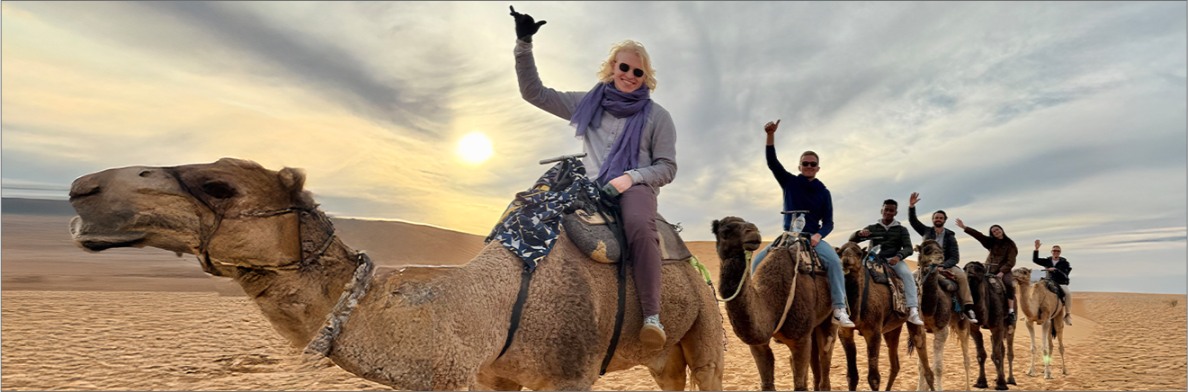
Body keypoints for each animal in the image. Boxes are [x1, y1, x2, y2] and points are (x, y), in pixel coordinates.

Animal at [69, 157, 727, 389]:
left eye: (219, 185)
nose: (83, 188)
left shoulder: (568, 376)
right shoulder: (491, 377)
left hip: (705, 322)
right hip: (663, 353)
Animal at [708, 216, 841, 389]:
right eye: (725, 231)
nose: (753, 231)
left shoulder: (800, 339)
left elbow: (799, 385)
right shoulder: (758, 345)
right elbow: (767, 384)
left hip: (828, 317)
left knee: (825, 352)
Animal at [836, 242, 936, 389]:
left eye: (859, 253)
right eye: (840, 252)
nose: (847, 259)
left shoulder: (873, 332)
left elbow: (874, 378)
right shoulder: (844, 332)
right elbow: (851, 376)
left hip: (916, 320)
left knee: (924, 361)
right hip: (892, 329)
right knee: (895, 365)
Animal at [912, 238, 969, 389]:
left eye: (941, 249)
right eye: (926, 250)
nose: (940, 258)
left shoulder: (942, 330)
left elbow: (938, 367)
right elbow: (921, 366)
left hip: (962, 323)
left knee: (966, 358)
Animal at [959, 261, 1007, 389]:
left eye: (979, 270)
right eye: (965, 268)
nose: (970, 271)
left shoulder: (997, 327)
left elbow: (996, 355)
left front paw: (1001, 384)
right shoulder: (974, 329)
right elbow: (980, 355)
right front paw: (981, 382)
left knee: (1003, 350)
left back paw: (1006, 379)